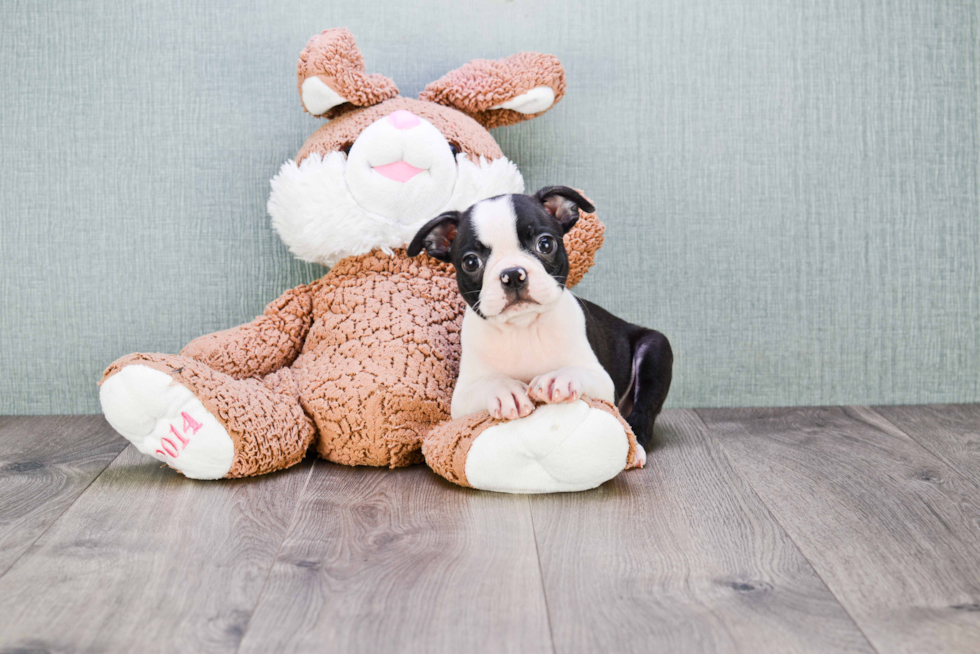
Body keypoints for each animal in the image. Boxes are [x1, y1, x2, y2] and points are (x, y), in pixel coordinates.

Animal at [406, 184, 672, 464]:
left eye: (545, 244)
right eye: (471, 262)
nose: (513, 274)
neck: (523, 329)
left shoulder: (603, 382)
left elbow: (579, 372)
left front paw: (559, 378)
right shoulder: (462, 398)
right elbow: (489, 383)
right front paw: (505, 390)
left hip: (655, 349)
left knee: (643, 412)